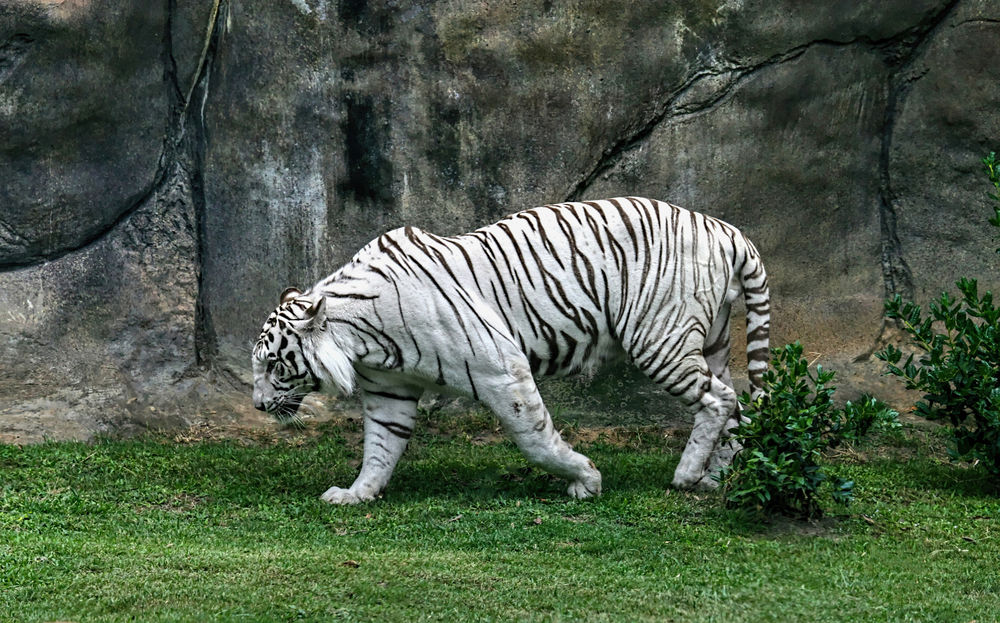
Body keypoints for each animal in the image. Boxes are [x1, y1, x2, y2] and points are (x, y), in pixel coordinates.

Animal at [252, 197, 770, 504]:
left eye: (275, 365)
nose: (257, 405)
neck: (361, 340)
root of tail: (729, 230)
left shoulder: (501, 370)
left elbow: (535, 438)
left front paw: (585, 480)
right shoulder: (388, 392)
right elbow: (380, 448)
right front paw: (356, 494)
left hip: (659, 339)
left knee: (719, 399)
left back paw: (686, 475)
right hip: (711, 343)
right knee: (737, 407)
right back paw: (714, 478)